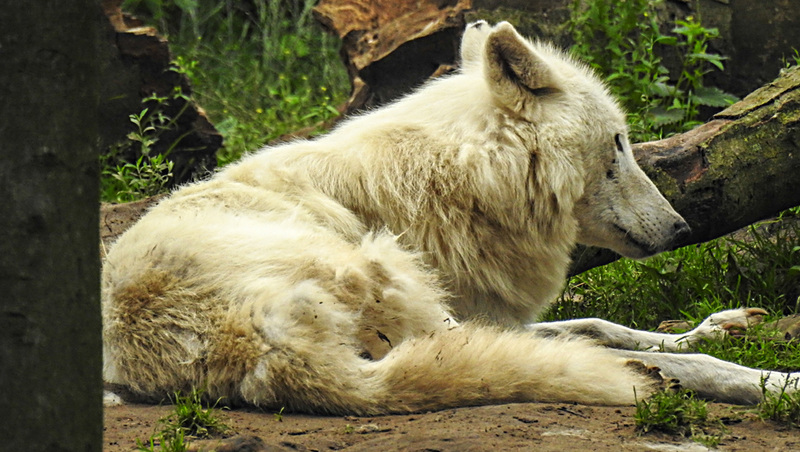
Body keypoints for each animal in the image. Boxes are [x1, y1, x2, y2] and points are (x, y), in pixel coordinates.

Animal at [103, 23, 796, 414]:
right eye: (620, 143)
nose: (682, 229)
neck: (458, 182)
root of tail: (271, 351)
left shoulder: (488, 311)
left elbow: (601, 324)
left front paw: (712, 328)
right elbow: (624, 344)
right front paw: (763, 374)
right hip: (403, 288)